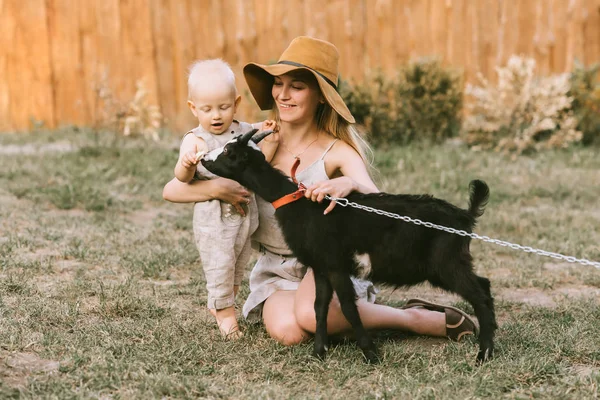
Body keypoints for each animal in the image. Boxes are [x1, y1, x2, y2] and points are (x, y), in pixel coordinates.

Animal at [202, 130, 496, 364]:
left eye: (228, 151)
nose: (204, 158)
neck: (300, 204)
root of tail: (465, 216)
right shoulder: (320, 266)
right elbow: (319, 307)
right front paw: (319, 352)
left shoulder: (335, 264)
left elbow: (348, 308)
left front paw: (371, 354)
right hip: (451, 262)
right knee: (483, 286)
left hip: (446, 262)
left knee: (480, 294)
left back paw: (484, 354)